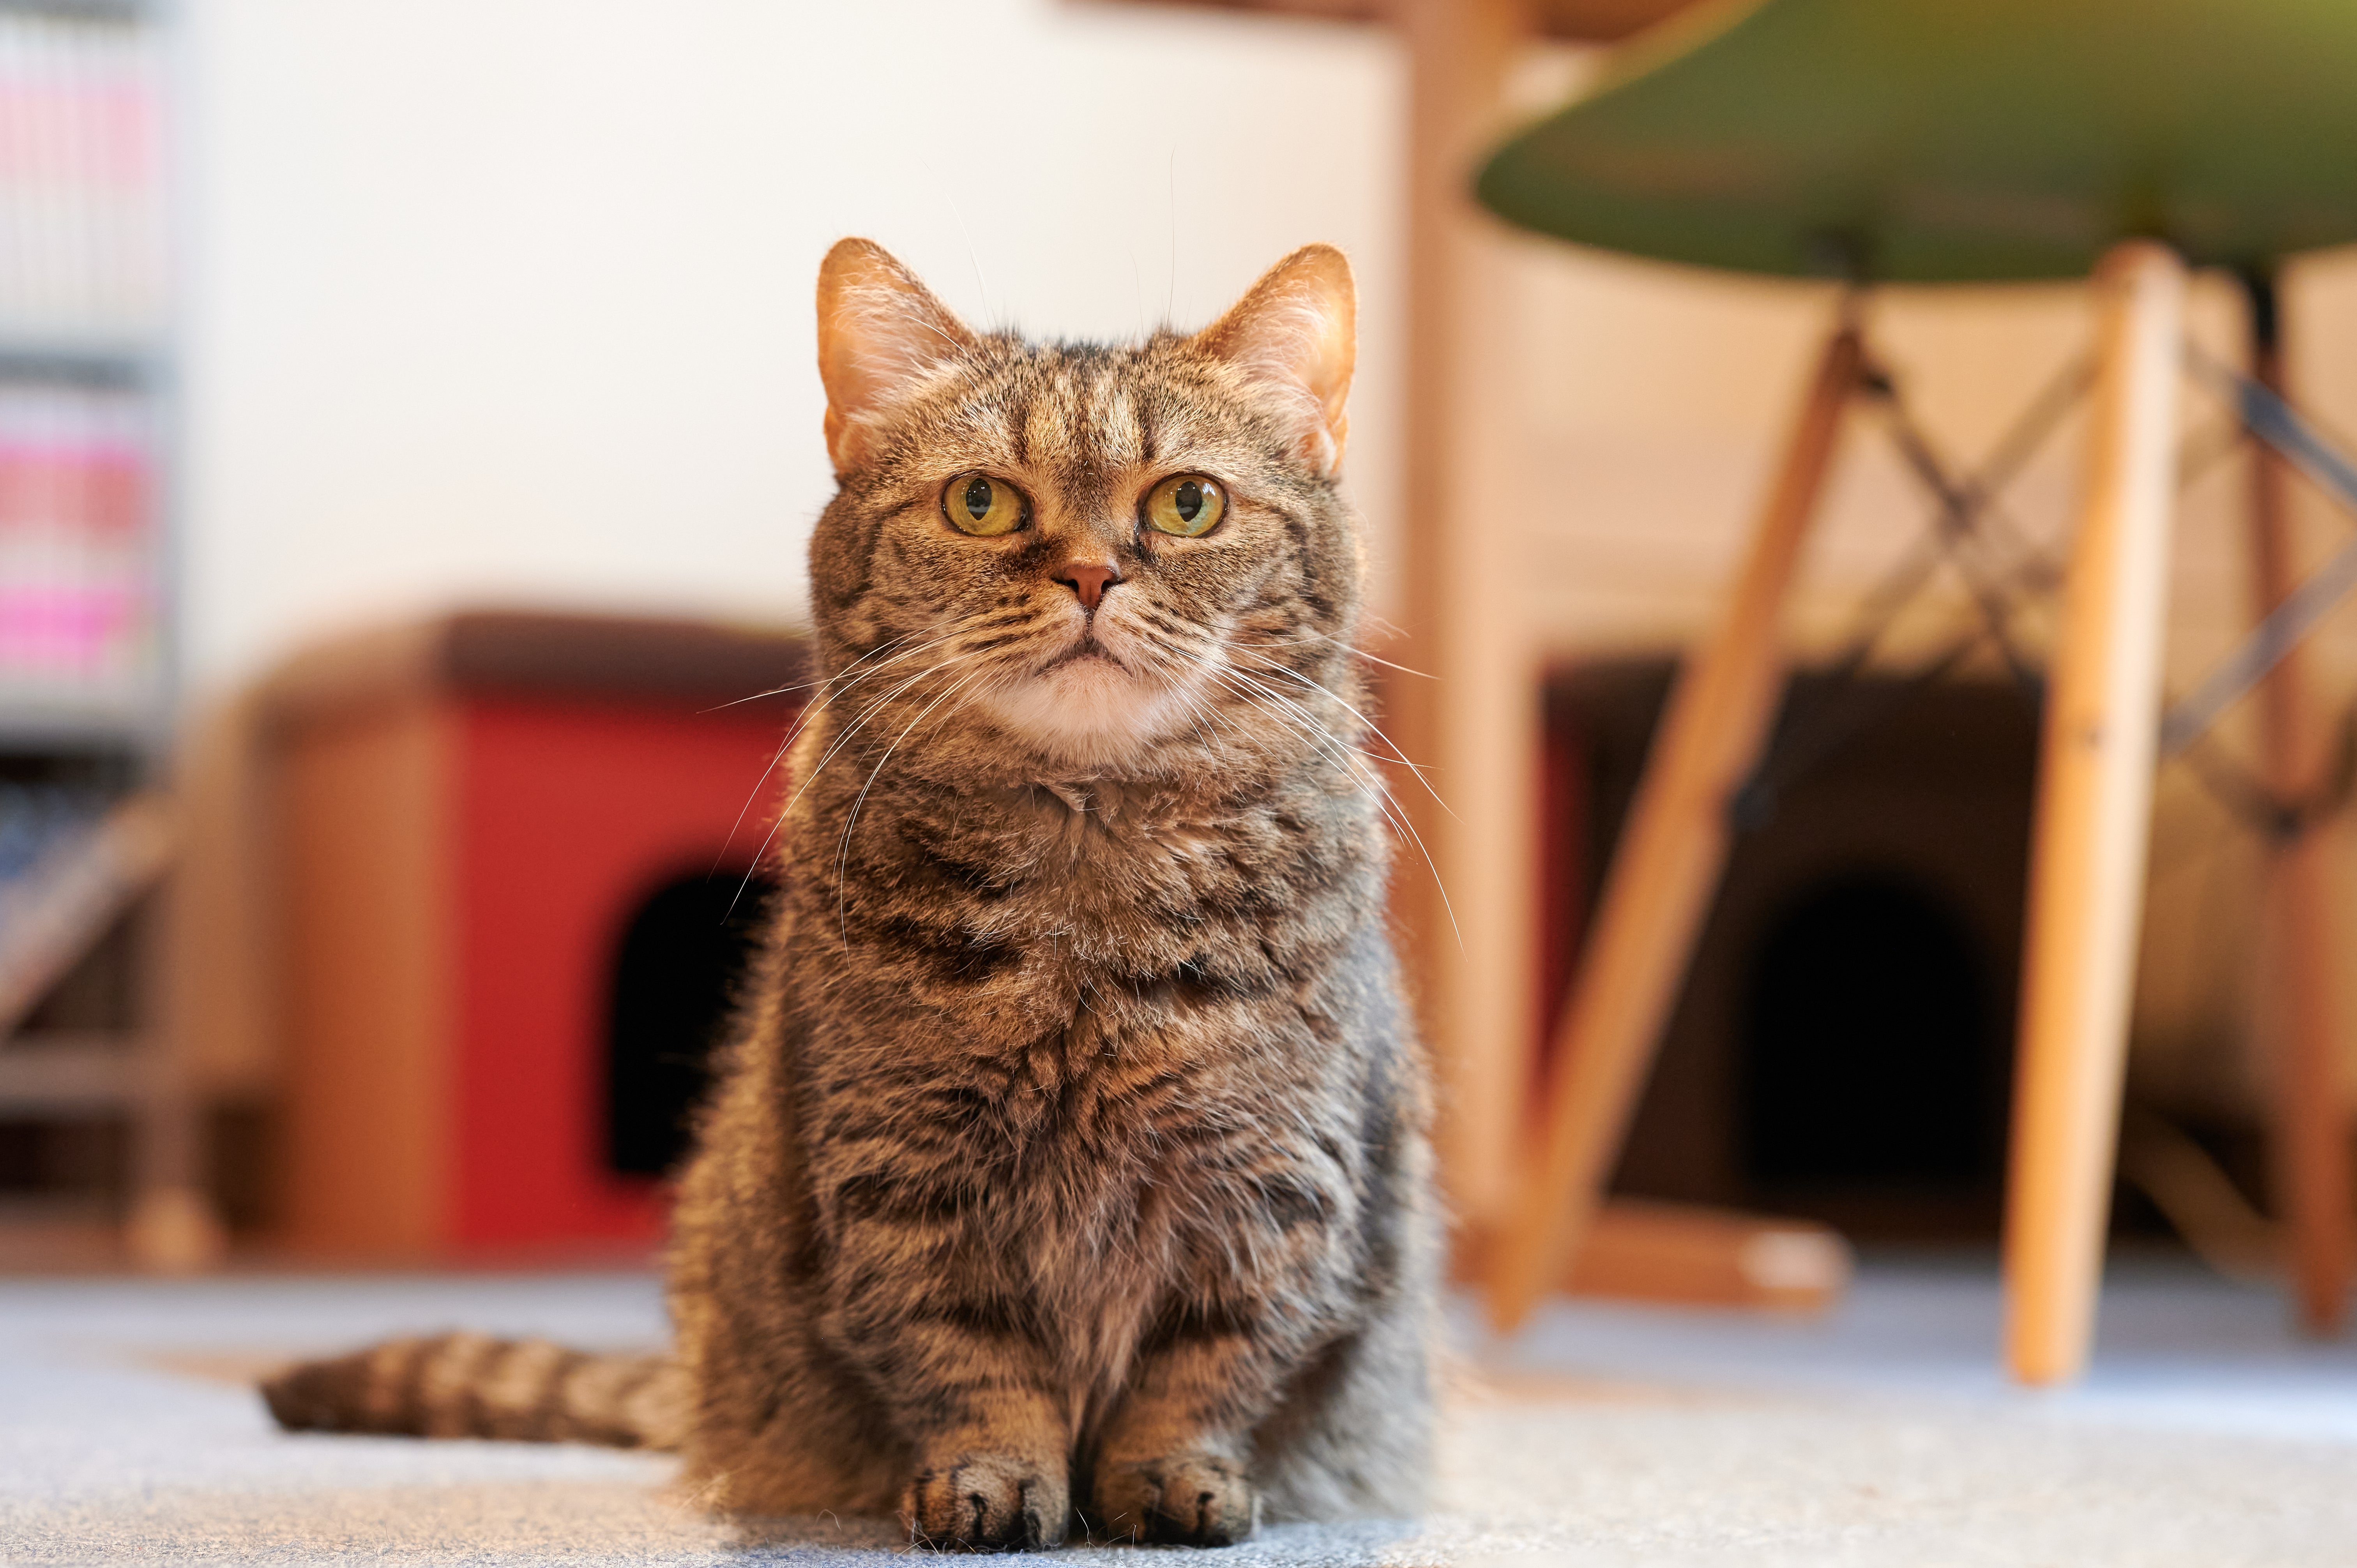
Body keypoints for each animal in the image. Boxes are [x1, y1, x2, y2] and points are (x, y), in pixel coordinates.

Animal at [263, 238, 1433, 1547]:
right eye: (982, 502)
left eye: (1189, 503)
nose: (1091, 572)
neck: (1086, 882)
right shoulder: (905, 1174)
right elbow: (969, 1362)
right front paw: (994, 1482)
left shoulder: (1274, 1184)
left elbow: (1206, 1368)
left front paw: (1175, 1479)